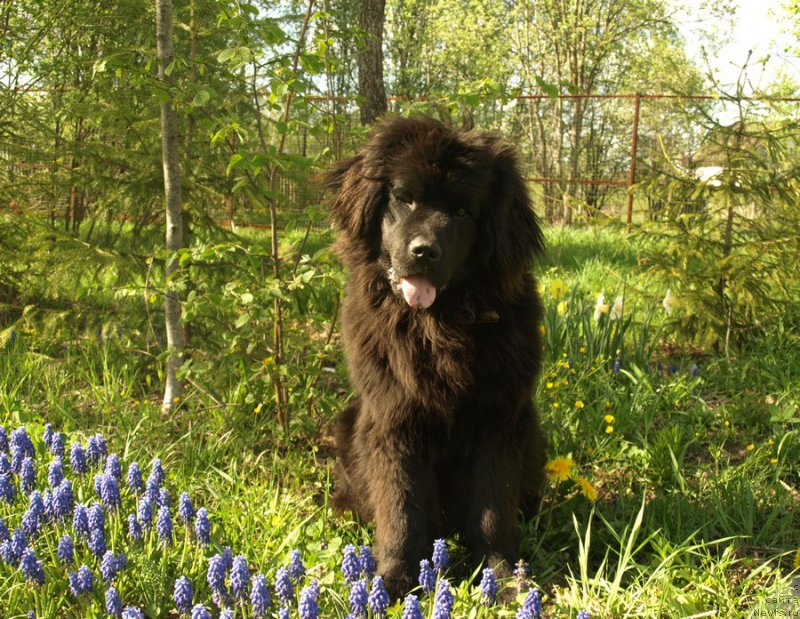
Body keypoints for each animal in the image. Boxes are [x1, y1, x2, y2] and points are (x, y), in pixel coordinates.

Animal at [324, 115, 544, 596]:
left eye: (462, 212)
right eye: (404, 198)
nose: (424, 250)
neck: (438, 329)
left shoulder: (499, 421)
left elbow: (492, 507)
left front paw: (501, 575)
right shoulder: (392, 419)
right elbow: (401, 506)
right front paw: (393, 579)